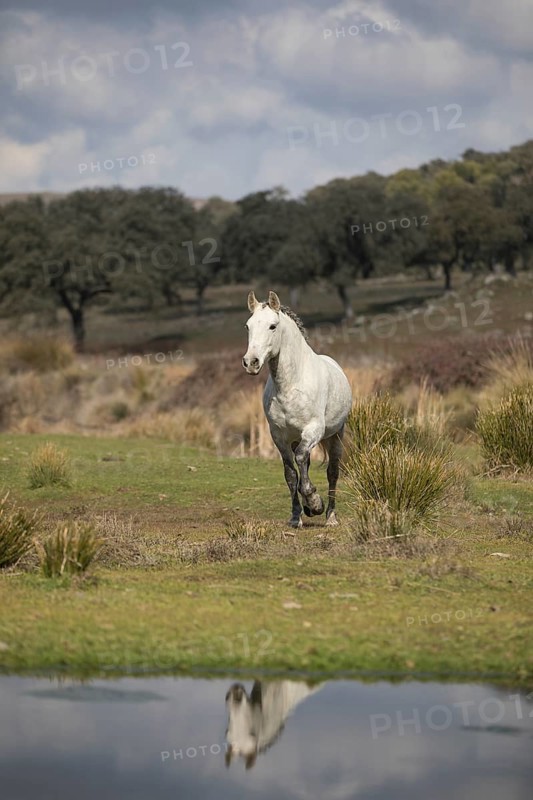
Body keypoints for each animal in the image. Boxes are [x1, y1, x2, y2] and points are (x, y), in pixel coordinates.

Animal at [242, 290, 352, 528]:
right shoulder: (279, 437)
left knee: (332, 471)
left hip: (335, 436)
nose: (251, 362)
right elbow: (291, 474)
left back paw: (330, 516)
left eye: (273, 326)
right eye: (248, 326)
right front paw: (296, 516)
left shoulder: (314, 430)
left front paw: (315, 502)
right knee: (306, 465)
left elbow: (302, 459)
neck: (291, 384)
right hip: (297, 438)